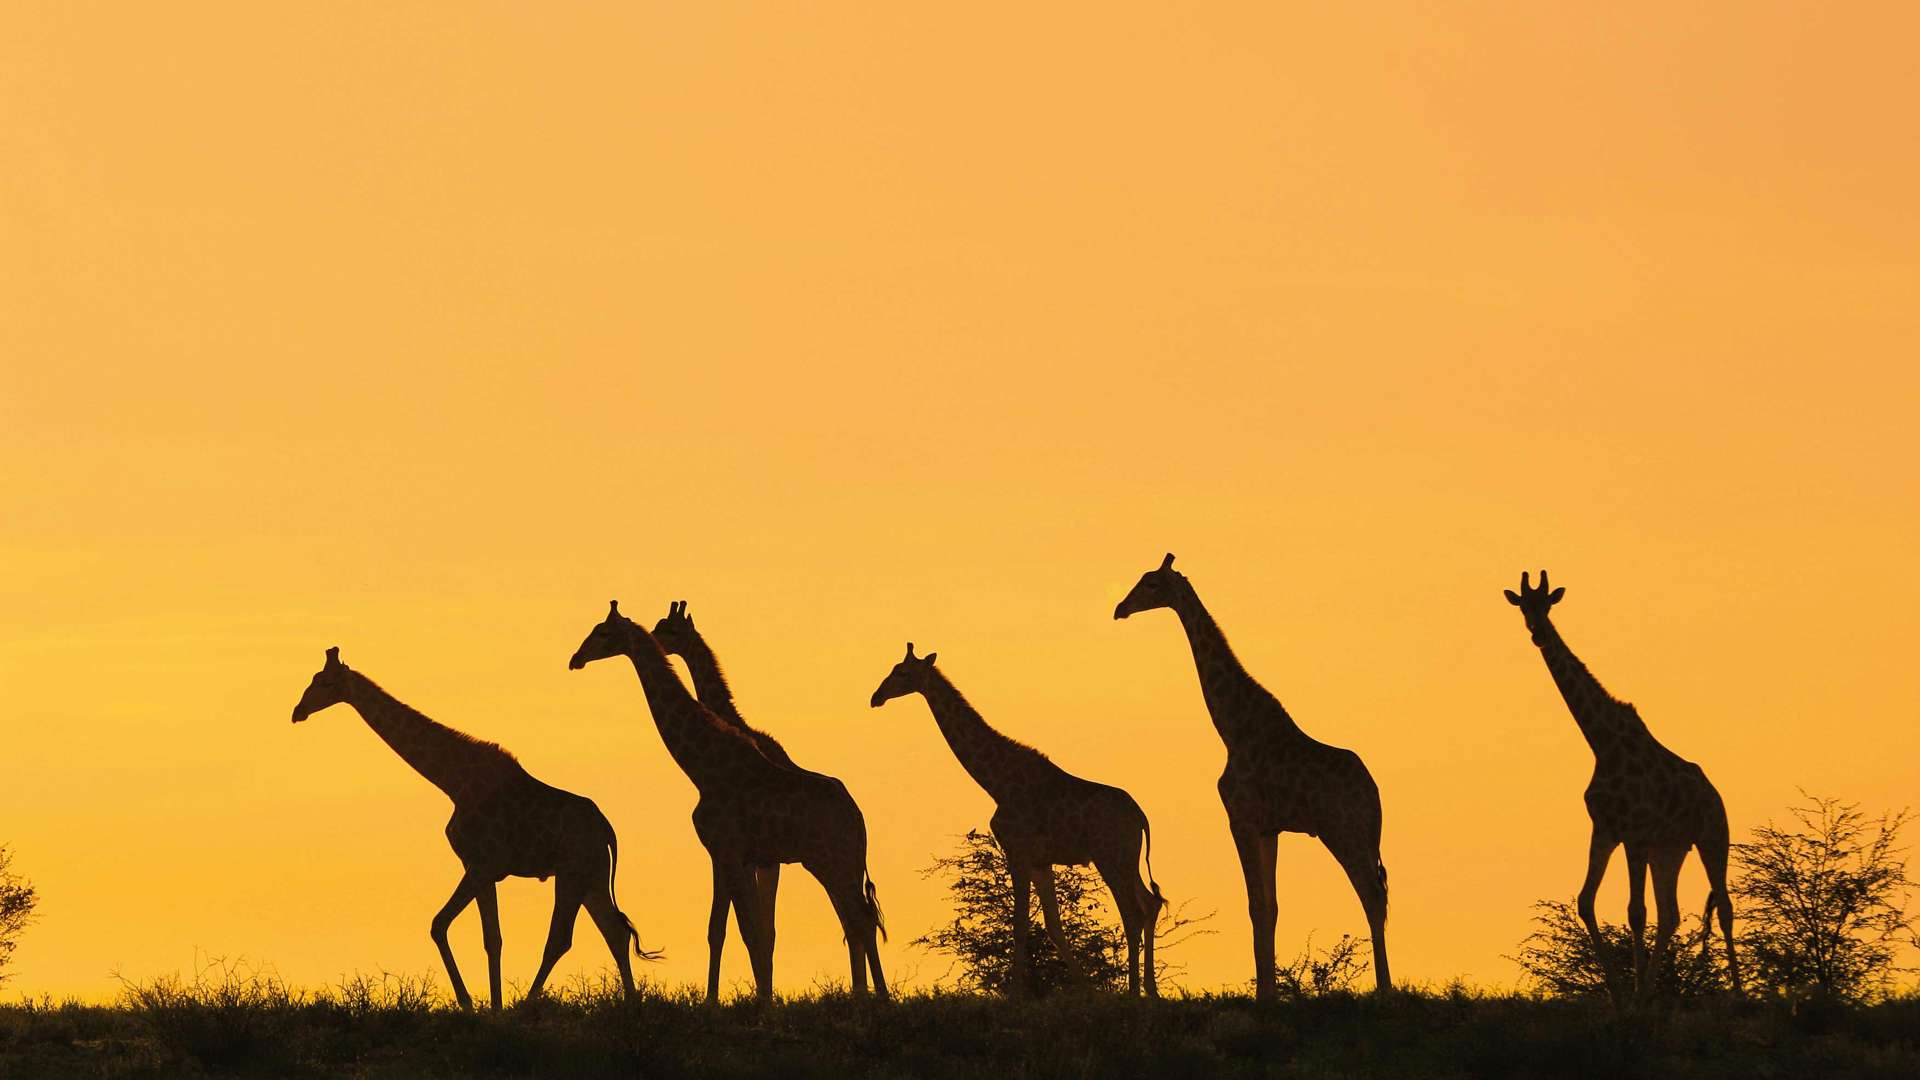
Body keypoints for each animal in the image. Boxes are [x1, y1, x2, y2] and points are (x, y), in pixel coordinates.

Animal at [284, 641, 656, 1006]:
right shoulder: (480, 868)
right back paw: (631, 1003)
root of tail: (608, 830)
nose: (298, 711)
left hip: (572, 871)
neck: (453, 782)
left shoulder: (481, 864)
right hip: (592, 874)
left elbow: (441, 925)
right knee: (614, 931)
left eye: (325, 682)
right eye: (314, 678)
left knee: (562, 938)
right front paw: (493, 1007)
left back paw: (530, 1004)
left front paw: (470, 1002)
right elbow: (492, 939)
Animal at [564, 599, 887, 999]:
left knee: (860, 920)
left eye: (603, 632)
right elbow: (731, 931)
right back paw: (867, 997)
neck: (703, 767)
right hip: (835, 863)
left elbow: (744, 931)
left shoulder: (730, 851)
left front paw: (748, 1003)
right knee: (857, 920)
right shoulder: (736, 856)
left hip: (832, 860)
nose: (576, 658)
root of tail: (857, 816)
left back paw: (878, 999)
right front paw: (732, 999)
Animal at [875, 638, 1167, 991]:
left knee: (1133, 913)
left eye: (903, 673)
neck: (996, 782)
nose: (876, 697)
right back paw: (1150, 990)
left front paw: (1016, 993)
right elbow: (1053, 927)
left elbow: (1020, 925)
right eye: (893, 669)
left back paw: (1135, 991)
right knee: (1150, 904)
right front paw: (1086, 990)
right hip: (1126, 857)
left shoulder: (1018, 850)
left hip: (1110, 856)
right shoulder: (1041, 861)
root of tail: (1140, 816)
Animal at [1113, 553, 1397, 991]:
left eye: (1151, 584)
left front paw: (1265, 992)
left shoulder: (1240, 818)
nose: (1120, 608)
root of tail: (1373, 793)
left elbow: (1255, 904)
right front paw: (1271, 990)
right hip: (1364, 835)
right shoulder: (1268, 827)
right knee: (1378, 894)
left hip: (1342, 830)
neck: (1232, 728)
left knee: (1370, 894)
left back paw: (1385, 989)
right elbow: (1271, 905)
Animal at [1512, 568, 1743, 999]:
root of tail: (1714, 793)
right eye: (1523, 608)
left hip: (1712, 836)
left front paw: (1632, 994)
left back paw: (1737, 993)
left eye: (1547, 604)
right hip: (1670, 848)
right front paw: (1620, 994)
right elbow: (1587, 901)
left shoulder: (1635, 832)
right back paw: (1653, 988)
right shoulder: (1606, 829)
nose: (1538, 634)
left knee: (1723, 906)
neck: (1603, 744)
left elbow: (1636, 912)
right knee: (1671, 914)